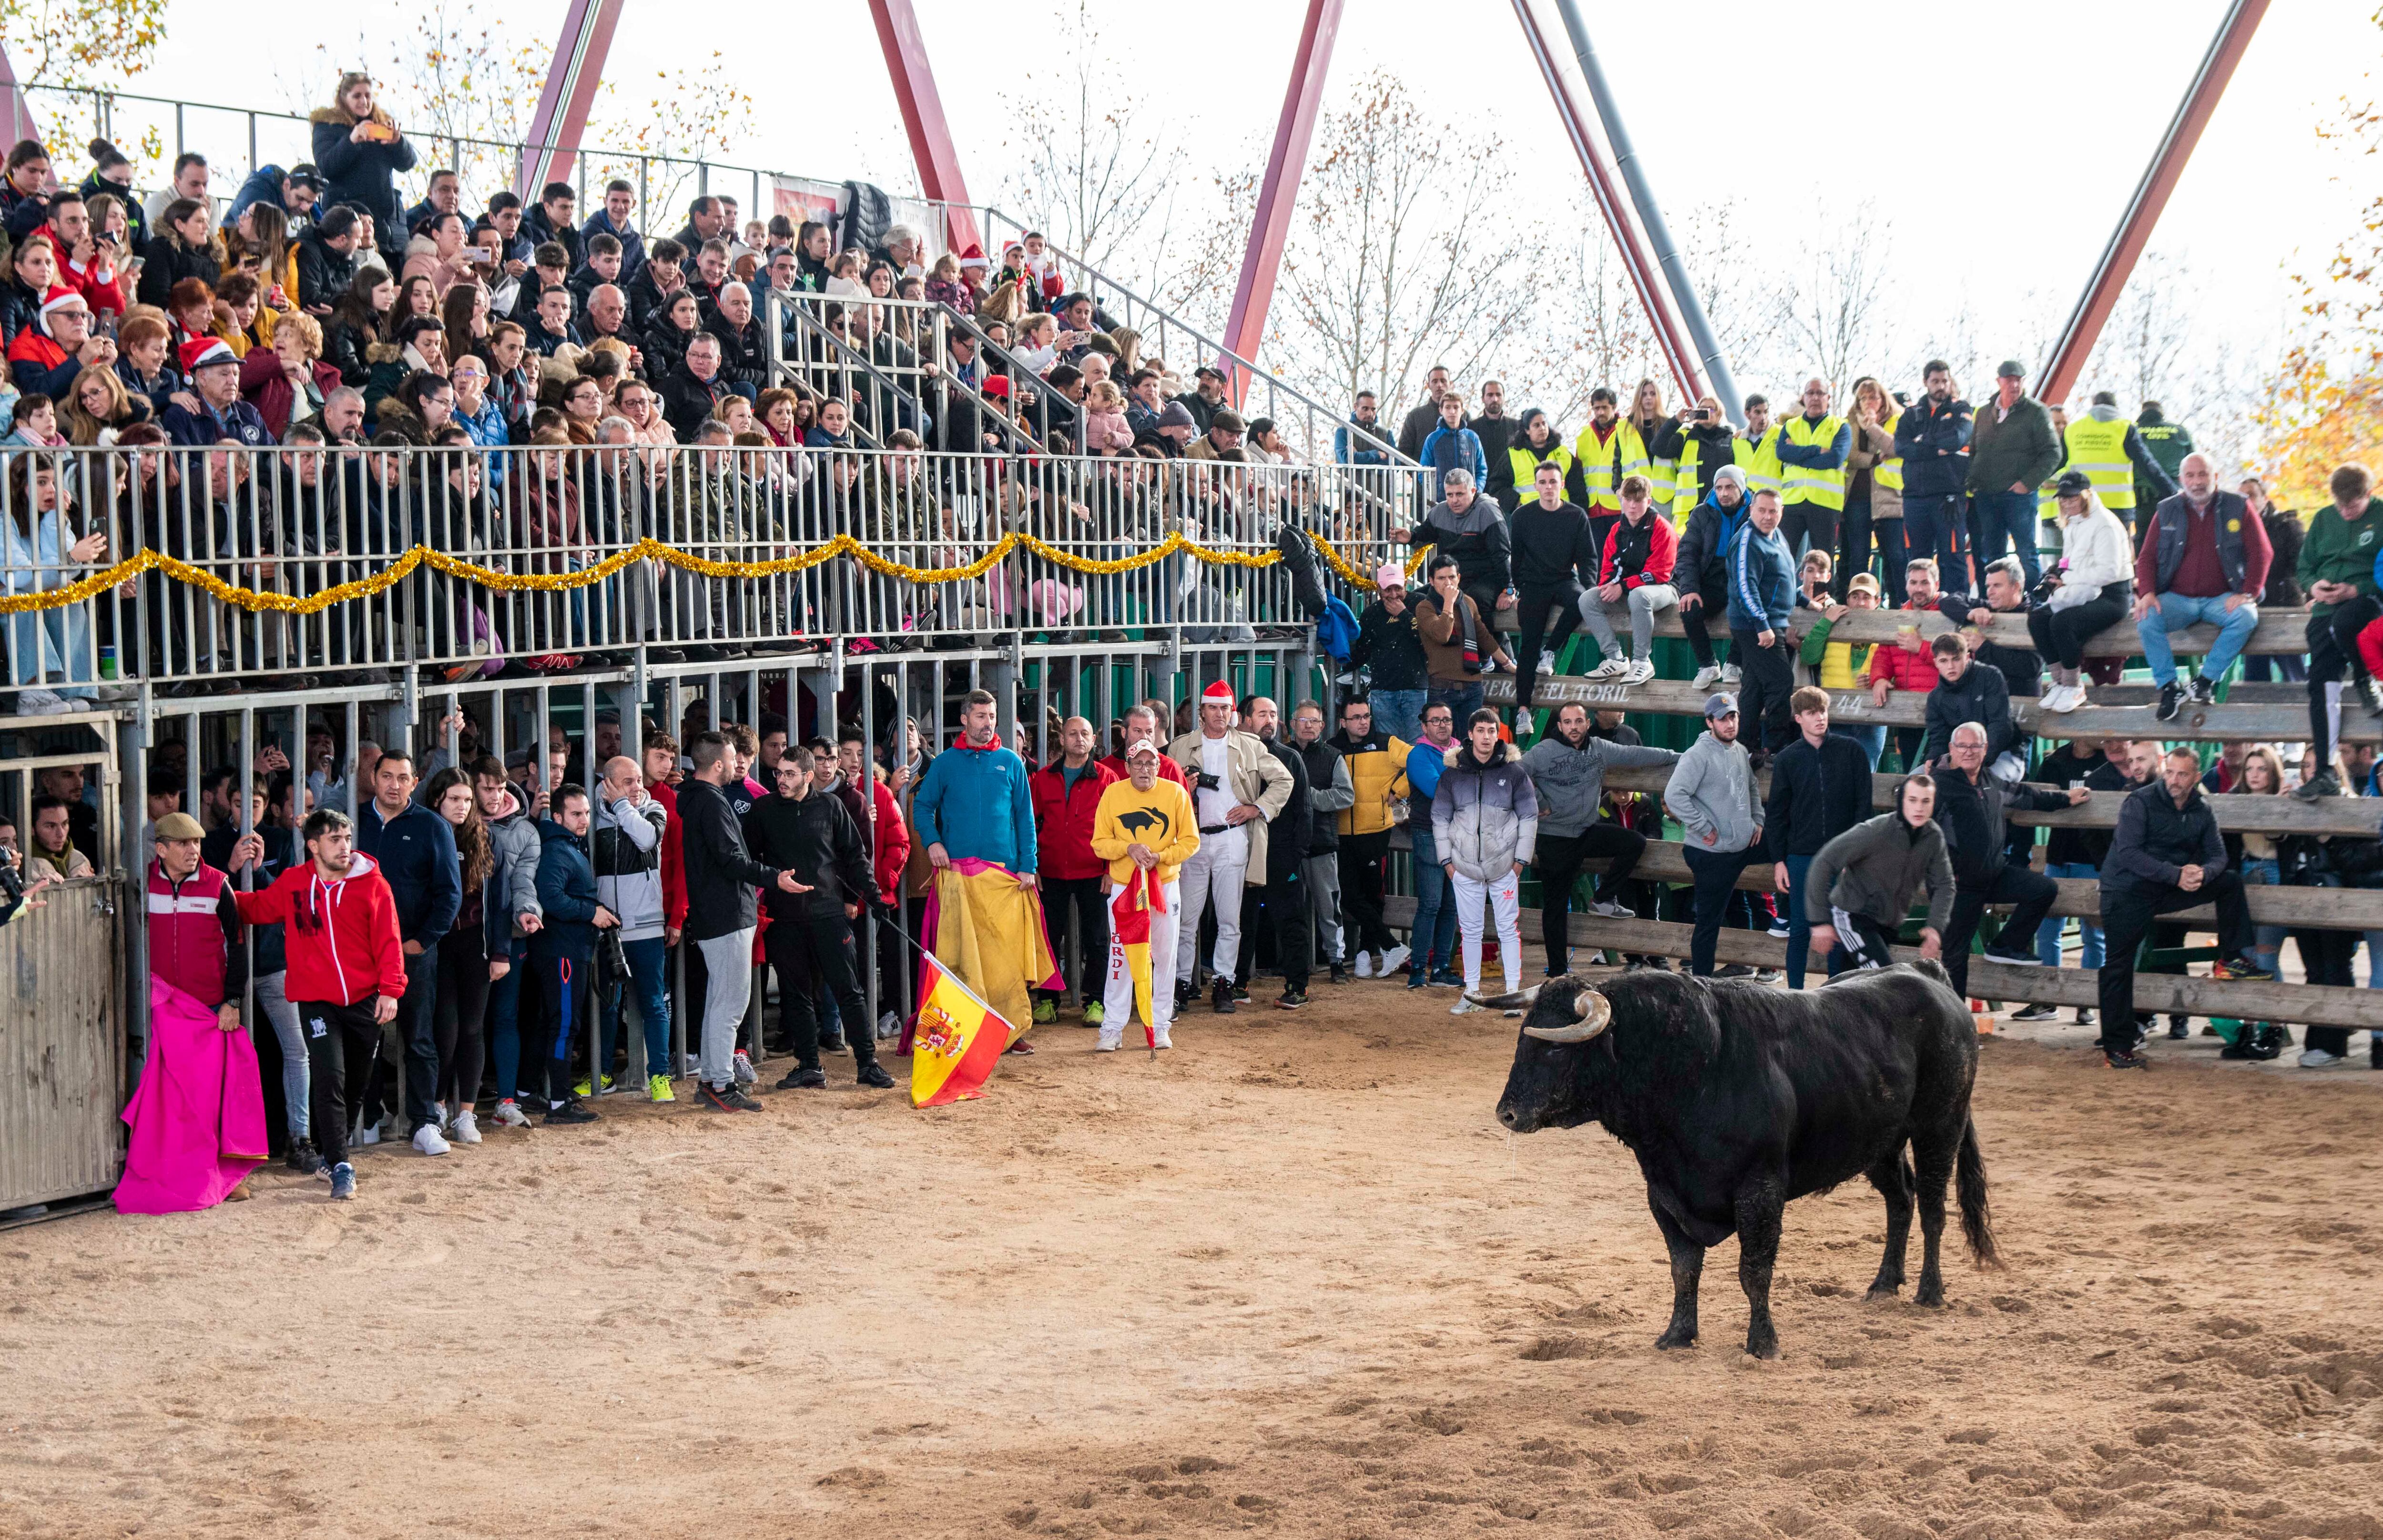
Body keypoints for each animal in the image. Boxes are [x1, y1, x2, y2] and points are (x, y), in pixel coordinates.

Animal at [1487, 963, 1992, 1363]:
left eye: (1555, 1048)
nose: (1507, 1113)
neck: (1694, 1068)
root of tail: (1929, 976)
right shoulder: (1664, 1193)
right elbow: (1683, 1268)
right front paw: (1677, 1335)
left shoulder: (1760, 1191)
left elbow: (1754, 1271)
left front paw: (1763, 1344)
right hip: (1879, 1143)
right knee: (1900, 1200)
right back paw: (1885, 1284)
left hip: (1939, 1127)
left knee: (1932, 1207)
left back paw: (1929, 1292)